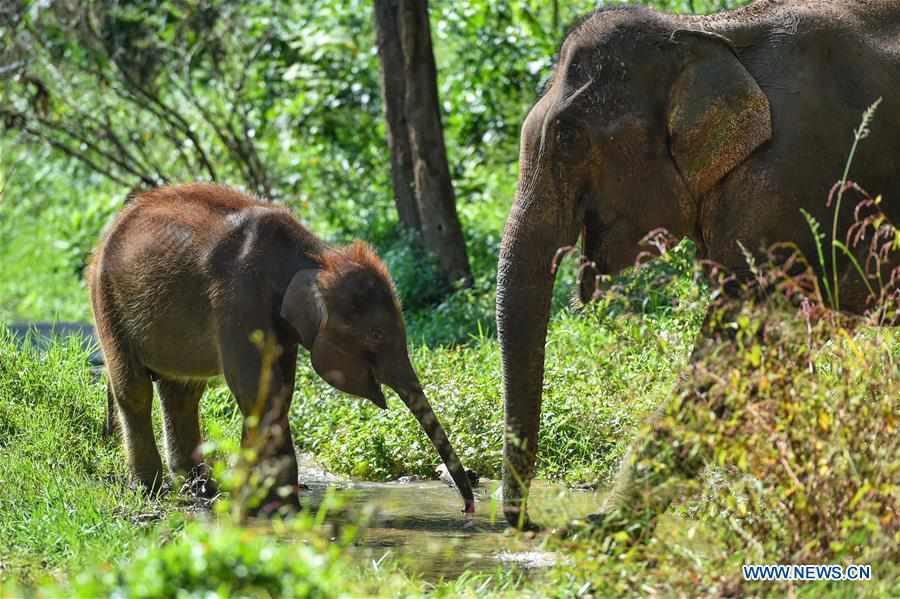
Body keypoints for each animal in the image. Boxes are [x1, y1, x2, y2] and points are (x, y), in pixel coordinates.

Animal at [88, 180, 474, 512]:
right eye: (377, 335)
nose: (467, 508)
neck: (316, 255)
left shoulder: (281, 324)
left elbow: (280, 389)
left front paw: (270, 503)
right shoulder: (237, 298)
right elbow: (257, 387)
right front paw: (271, 506)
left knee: (182, 393)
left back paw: (200, 490)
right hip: (106, 299)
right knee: (135, 389)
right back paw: (152, 490)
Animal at [496, 2, 900, 532]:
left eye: (568, 138)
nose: (529, 522)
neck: (703, 30)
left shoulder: (788, 184)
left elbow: (737, 349)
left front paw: (600, 529)